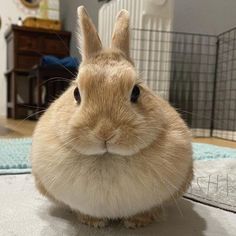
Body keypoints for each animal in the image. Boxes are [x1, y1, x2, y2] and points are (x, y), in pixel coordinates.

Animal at [30, 6, 194, 229]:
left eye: (136, 92)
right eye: (76, 93)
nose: (105, 132)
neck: (107, 158)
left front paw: (137, 222)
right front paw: (92, 222)